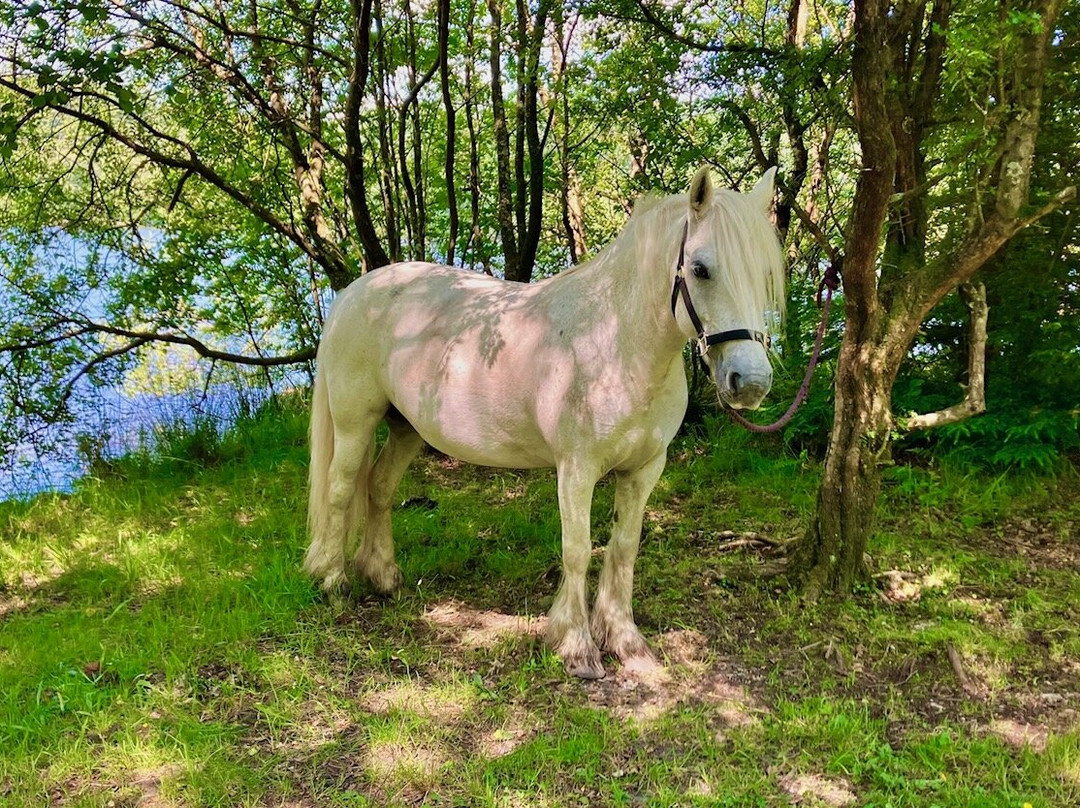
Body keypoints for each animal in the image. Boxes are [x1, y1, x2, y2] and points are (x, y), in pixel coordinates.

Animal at [306, 166, 785, 679]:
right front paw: (576, 646)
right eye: (700, 269)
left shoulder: (644, 469)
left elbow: (624, 547)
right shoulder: (576, 469)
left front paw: (626, 642)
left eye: (763, 274)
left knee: (378, 488)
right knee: (341, 489)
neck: (618, 342)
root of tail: (353, 293)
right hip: (356, 423)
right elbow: (577, 548)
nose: (751, 381)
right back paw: (332, 581)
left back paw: (384, 577)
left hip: (406, 429)